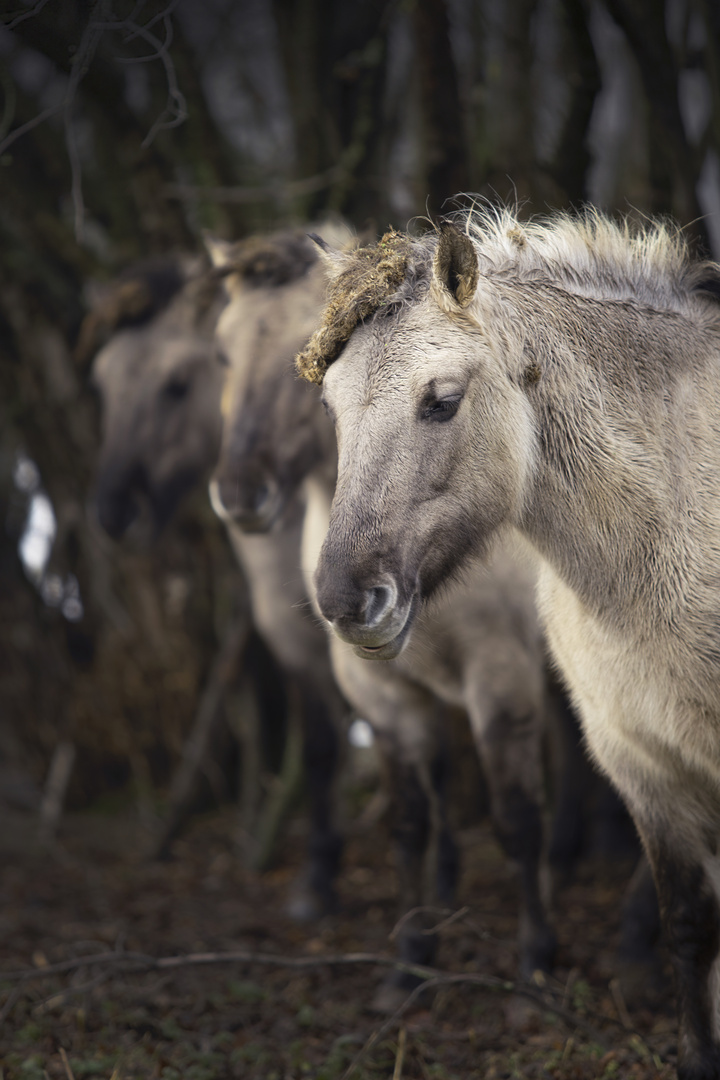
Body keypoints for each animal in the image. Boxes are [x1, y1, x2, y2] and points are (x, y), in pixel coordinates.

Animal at [87, 254, 345, 920]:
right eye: (102, 385)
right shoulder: (297, 647)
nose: (113, 513)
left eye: (176, 384)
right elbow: (323, 745)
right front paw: (319, 877)